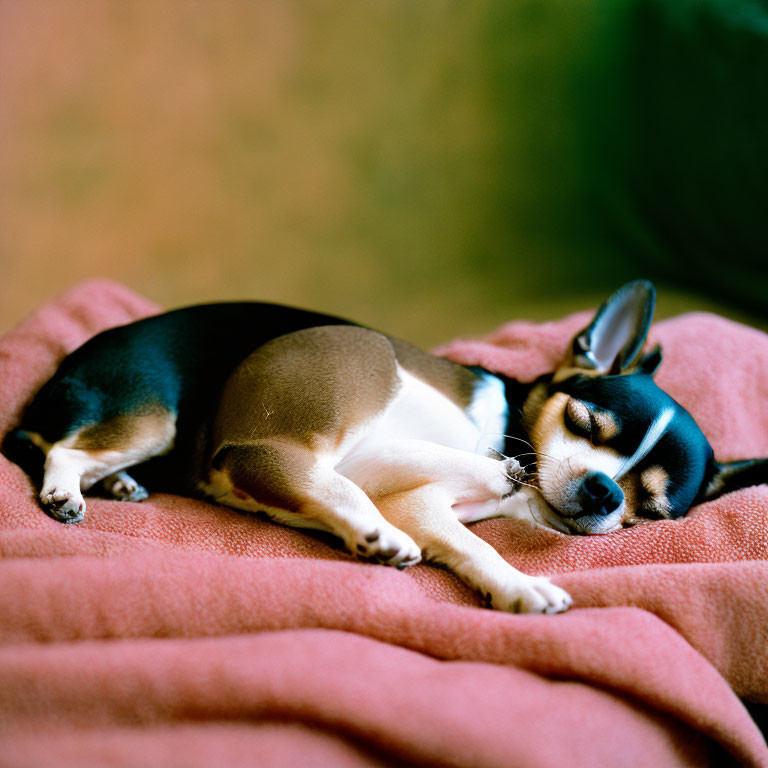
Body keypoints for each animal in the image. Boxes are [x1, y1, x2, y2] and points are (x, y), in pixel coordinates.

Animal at [7, 280, 768, 612]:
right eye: (587, 422)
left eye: (654, 508)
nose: (604, 491)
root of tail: (57, 378)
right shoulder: (416, 485)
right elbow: (482, 533)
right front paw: (520, 580)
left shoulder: (430, 504)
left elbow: (471, 540)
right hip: (184, 415)